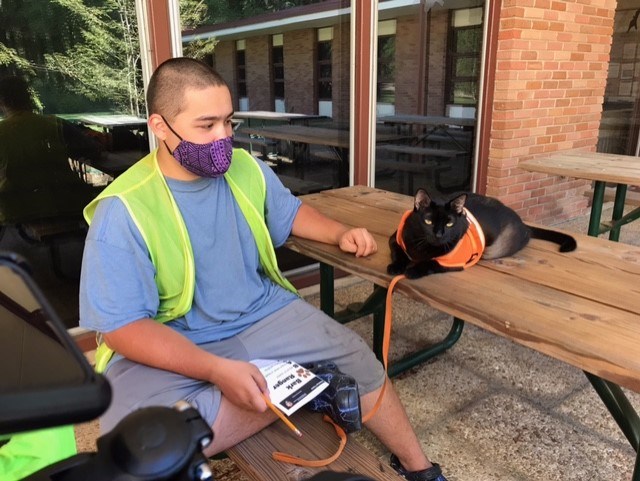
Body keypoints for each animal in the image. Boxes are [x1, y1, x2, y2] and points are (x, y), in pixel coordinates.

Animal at [388, 188, 576, 278]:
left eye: (449, 223)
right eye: (428, 221)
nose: (439, 234)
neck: (422, 248)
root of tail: (522, 222)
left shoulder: (457, 261)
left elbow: (431, 263)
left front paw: (413, 271)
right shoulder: (395, 239)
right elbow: (399, 253)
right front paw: (395, 267)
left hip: (496, 248)